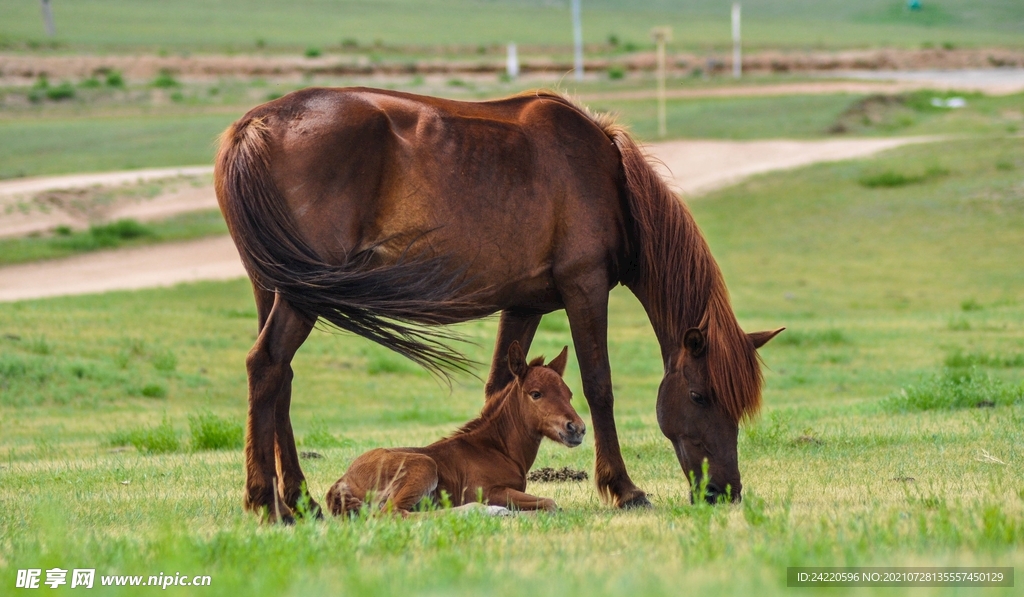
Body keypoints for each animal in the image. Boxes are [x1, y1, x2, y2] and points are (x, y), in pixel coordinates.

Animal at [326, 342, 583, 516]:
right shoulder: (488, 491)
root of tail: (343, 481)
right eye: (536, 394)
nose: (577, 428)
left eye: (569, 394)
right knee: (394, 514)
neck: (497, 449)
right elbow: (550, 503)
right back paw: (487, 511)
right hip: (424, 466)